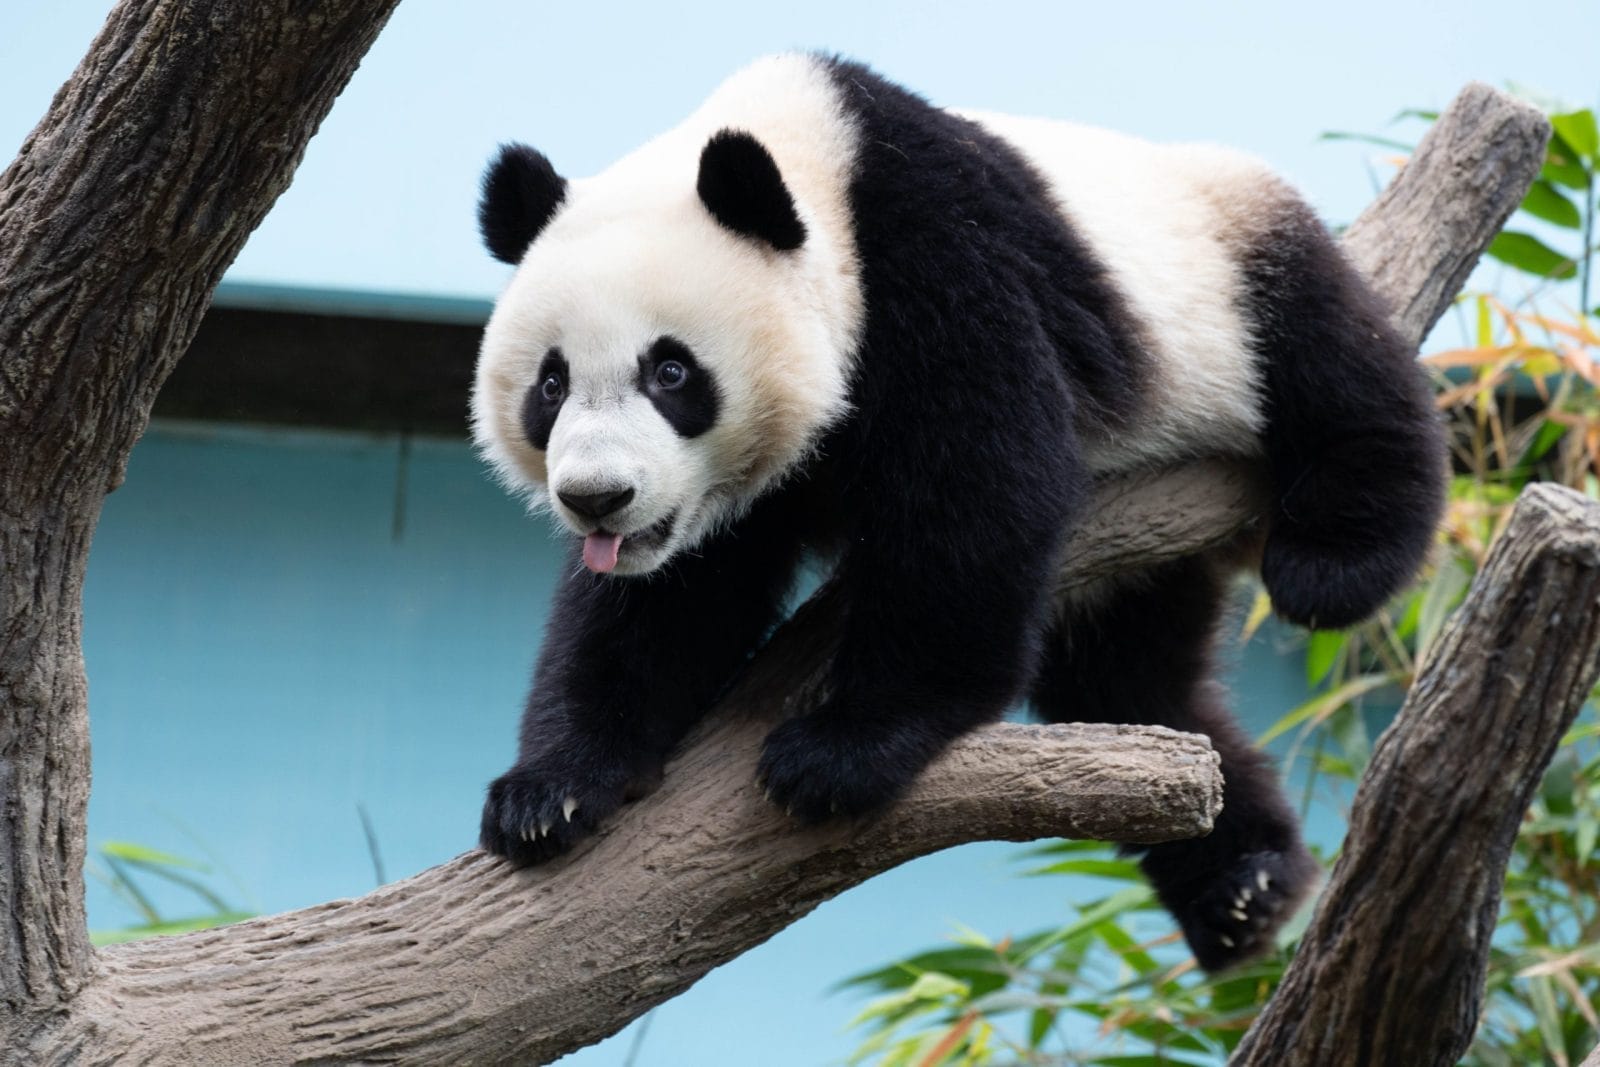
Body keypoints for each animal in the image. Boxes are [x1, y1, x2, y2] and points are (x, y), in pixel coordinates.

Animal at [470, 53, 1444, 972]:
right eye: (551, 385)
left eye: (670, 371)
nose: (597, 499)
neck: (814, 155)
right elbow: (666, 601)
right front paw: (549, 790)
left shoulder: (934, 247)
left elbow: (978, 482)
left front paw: (844, 748)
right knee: (1136, 682)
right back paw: (1243, 884)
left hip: (1222, 248)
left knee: (1332, 356)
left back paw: (1336, 562)